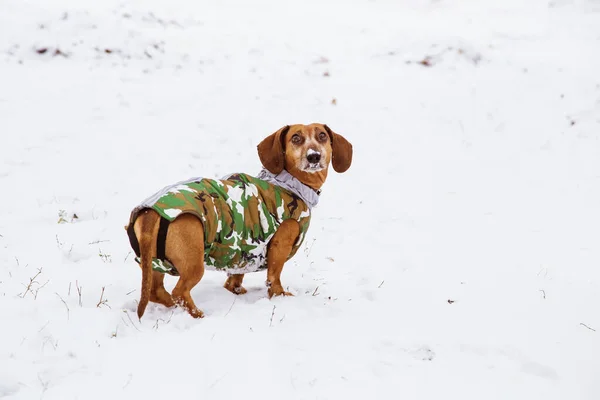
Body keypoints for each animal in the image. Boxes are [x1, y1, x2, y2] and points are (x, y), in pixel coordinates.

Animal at [126, 122, 352, 318]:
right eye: (296, 138)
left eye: (322, 136)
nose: (314, 156)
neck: (287, 184)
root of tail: (150, 212)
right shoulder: (279, 246)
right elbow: (274, 277)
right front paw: (279, 296)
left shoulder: (242, 254)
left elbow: (235, 278)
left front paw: (235, 290)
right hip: (193, 264)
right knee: (179, 293)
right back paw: (198, 315)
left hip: (155, 263)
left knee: (156, 292)